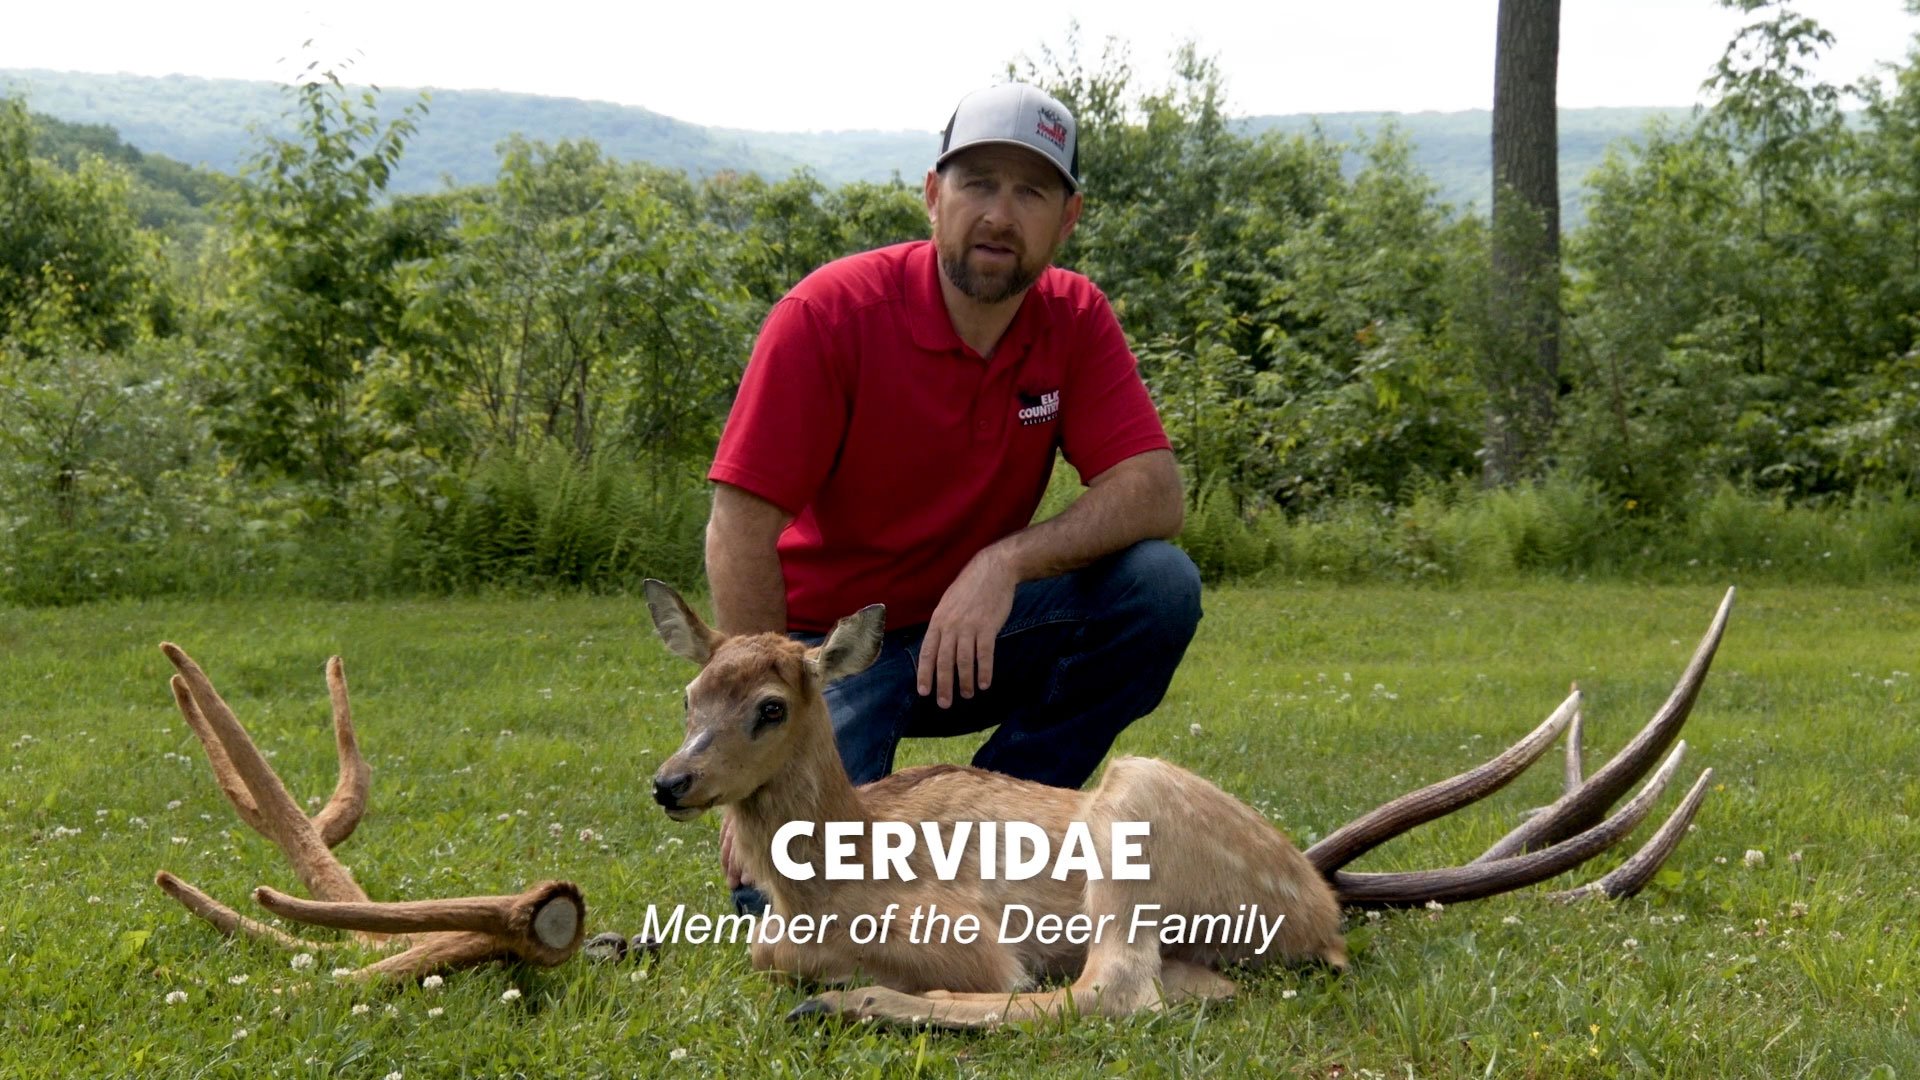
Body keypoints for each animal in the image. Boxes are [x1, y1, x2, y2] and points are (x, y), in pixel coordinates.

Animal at [645, 580, 1743, 1022]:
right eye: (689, 695)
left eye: (771, 705)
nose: (669, 782)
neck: (839, 862)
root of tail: (1324, 904)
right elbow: (761, 947)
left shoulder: (960, 931)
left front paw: (849, 983)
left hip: (1132, 809)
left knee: (1113, 994)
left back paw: (860, 1007)